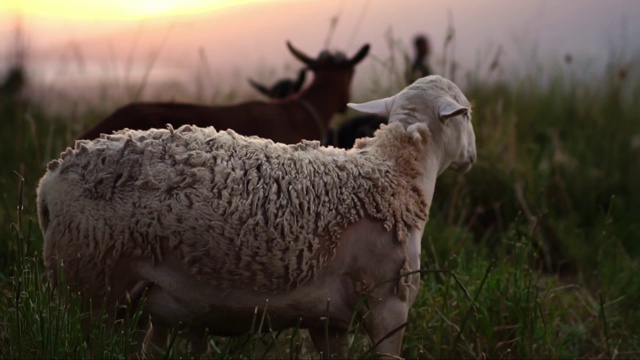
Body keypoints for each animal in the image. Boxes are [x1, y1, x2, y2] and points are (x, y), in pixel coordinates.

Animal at [36, 74, 476, 358]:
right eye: (467, 115)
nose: (472, 156)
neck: (395, 173)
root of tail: (49, 181)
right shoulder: (389, 303)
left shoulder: (328, 320)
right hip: (90, 286)